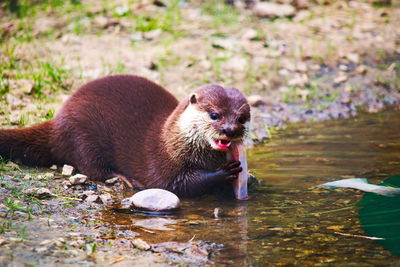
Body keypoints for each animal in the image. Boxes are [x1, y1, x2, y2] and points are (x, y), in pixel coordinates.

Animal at [0, 74, 250, 198]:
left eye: (241, 118)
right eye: (214, 115)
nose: (230, 130)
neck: (171, 140)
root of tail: (58, 119)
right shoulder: (162, 162)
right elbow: (177, 184)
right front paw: (223, 172)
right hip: (82, 134)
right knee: (90, 166)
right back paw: (124, 179)